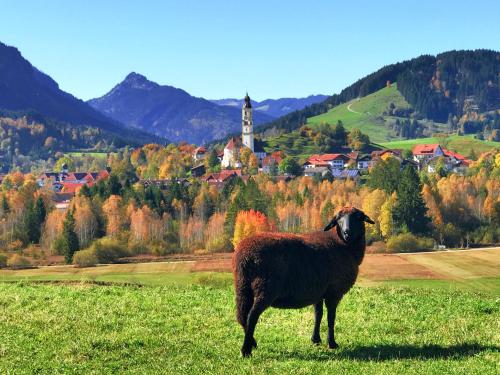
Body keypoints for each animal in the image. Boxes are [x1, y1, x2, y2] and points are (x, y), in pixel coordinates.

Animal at [232, 207, 374, 356]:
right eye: (338, 219)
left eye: (358, 217)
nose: (347, 232)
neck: (344, 246)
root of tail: (245, 256)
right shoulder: (334, 292)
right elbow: (331, 318)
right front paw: (332, 343)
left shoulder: (319, 291)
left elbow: (318, 314)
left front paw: (316, 340)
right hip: (265, 288)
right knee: (252, 316)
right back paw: (246, 350)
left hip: (242, 285)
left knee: (242, 316)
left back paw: (252, 342)